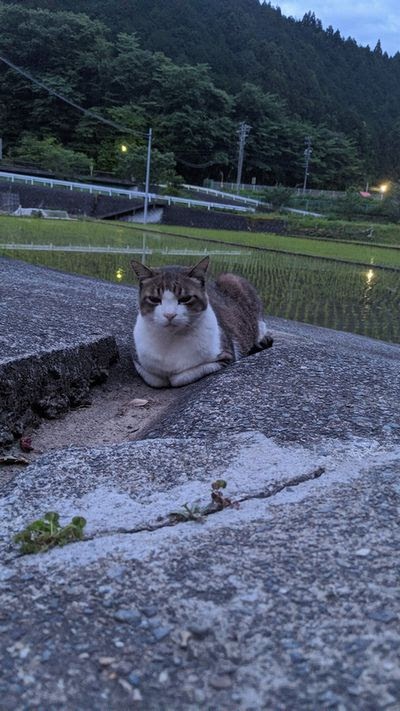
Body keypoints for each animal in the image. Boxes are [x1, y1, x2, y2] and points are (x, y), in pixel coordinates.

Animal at [130, 256, 272, 390]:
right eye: (154, 299)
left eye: (185, 298)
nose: (169, 314)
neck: (171, 339)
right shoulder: (139, 361)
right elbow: (155, 378)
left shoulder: (225, 356)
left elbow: (179, 377)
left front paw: (173, 376)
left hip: (234, 280)